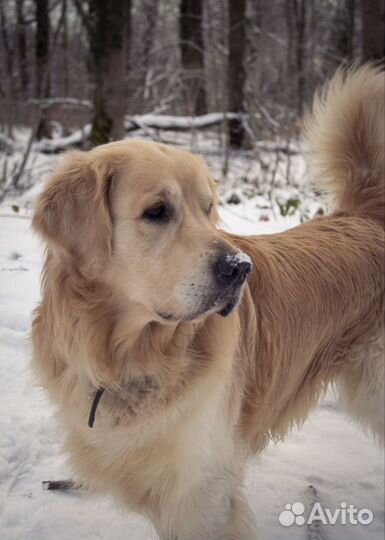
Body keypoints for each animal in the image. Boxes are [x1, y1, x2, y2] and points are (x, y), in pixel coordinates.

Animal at [31, 64, 382, 540]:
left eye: (208, 208)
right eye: (157, 211)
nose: (240, 268)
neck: (129, 357)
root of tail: (366, 215)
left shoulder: (204, 492)